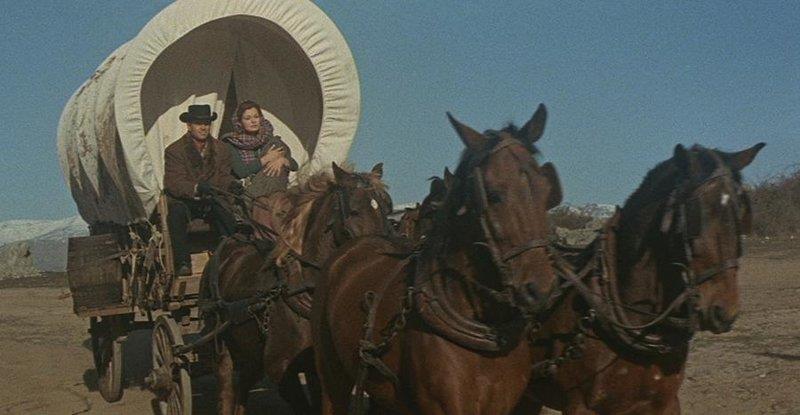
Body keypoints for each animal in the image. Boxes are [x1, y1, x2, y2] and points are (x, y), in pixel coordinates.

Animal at [207, 162, 394, 415]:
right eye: (354, 210)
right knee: (226, 389)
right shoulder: (281, 370)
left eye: (386, 208)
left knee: (242, 387)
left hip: (250, 354)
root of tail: (229, 244)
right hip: (222, 346)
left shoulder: (322, 368)